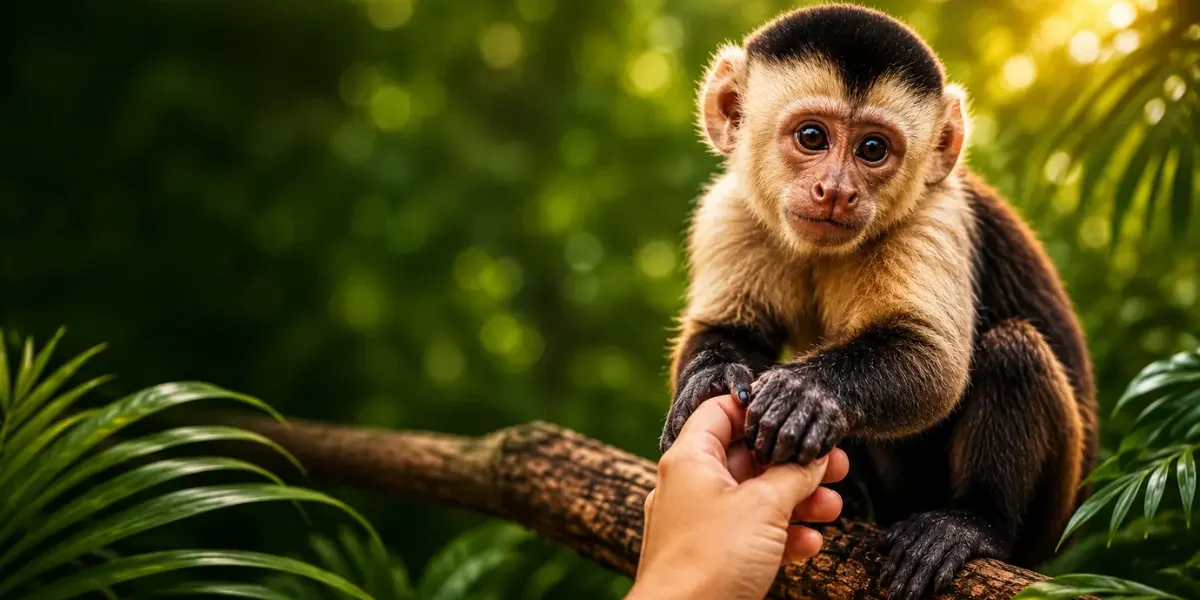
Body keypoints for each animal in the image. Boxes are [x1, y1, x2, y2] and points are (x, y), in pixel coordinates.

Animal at [657, 5, 1098, 599]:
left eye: (873, 149)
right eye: (812, 137)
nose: (837, 191)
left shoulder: (936, 214)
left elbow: (933, 358)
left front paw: (806, 393)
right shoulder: (731, 210)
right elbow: (731, 329)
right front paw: (711, 376)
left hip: (1048, 523)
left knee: (1014, 350)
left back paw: (974, 523)